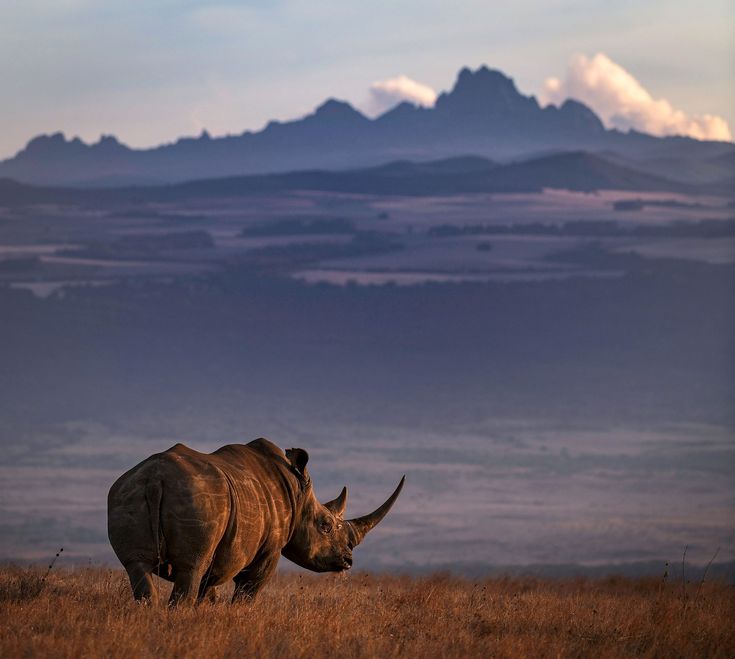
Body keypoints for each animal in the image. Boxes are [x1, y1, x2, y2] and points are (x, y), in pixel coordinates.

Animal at [108, 438, 404, 605]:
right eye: (325, 526)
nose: (348, 561)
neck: (300, 496)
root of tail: (156, 479)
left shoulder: (221, 554)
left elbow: (207, 593)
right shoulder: (270, 548)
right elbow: (247, 591)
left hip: (127, 493)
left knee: (138, 567)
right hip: (195, 497)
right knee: (190, 569)